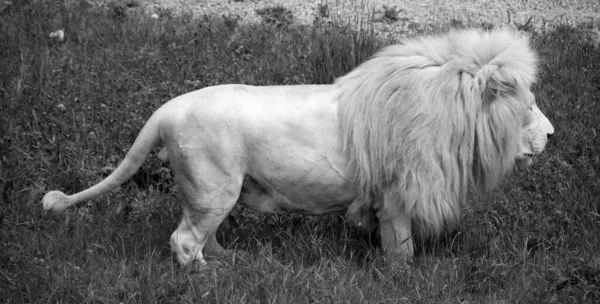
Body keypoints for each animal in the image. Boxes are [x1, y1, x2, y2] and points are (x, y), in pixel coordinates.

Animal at [42, 29, 556, 266]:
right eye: (529, 106)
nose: (552, 135)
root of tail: (166, 109)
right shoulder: (396, 193)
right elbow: (402, 245)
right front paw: (404, 275)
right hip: (213, 186)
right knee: (184, 240)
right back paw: (210, 278)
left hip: (214, 192)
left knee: (202, 233)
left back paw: (229, 260)